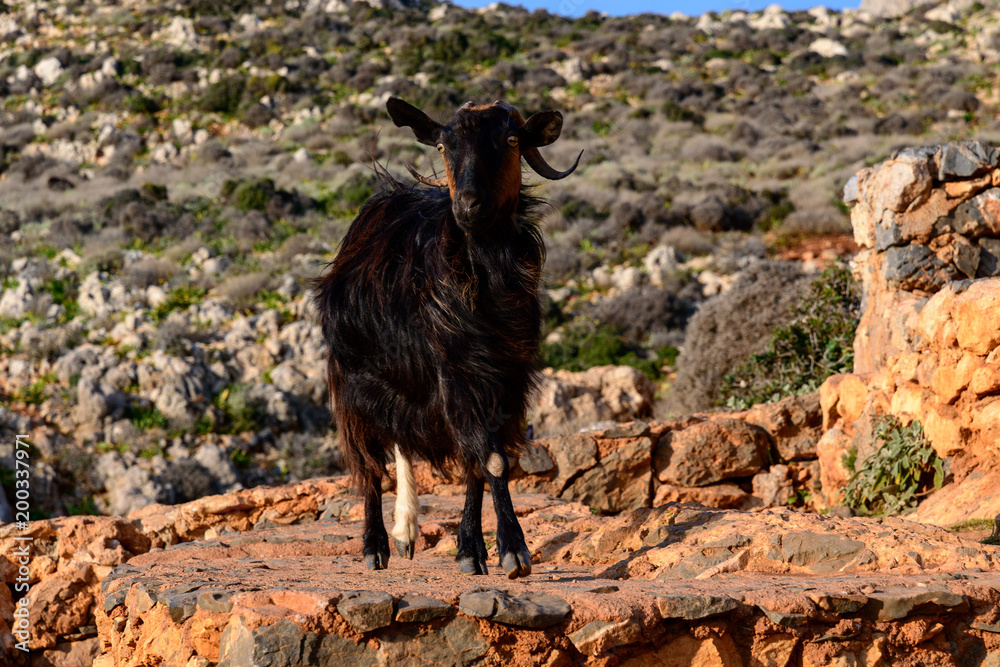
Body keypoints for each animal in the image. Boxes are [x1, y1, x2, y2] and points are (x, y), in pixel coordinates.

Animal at [312, 98, 580, 580]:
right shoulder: (455, 373)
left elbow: (480, 462)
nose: (468, 205)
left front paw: (472, 550)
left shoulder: (505, 379)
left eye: (511, 139)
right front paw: (514, 551)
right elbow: (490, 459)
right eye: (442, 145)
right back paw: (376, 545)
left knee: (404, 443)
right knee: (370, 465)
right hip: (354, 384)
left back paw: (406, 532)